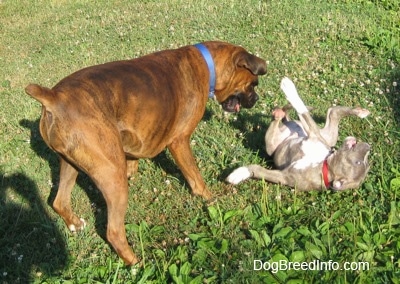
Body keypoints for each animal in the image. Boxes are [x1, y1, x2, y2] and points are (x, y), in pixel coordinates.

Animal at [26, 41, 268, 266]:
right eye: (253, 84)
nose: (256, 100)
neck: (208, 65)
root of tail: (54, 97)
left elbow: (134, 156)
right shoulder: (179, 142)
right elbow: (195, 176)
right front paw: (209, 199)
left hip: (69, 164)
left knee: (59, 202)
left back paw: (75, 224)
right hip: (112, 176)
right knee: (113, 231)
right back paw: (135, 263)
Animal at [227, 77, 370, 191]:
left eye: (359, 162)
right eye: (363, 162)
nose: (369, 147)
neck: (324, 165)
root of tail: (288, 121)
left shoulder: (284, 176)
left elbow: (259, 170)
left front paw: (240, 173)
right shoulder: (313, 133)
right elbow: (303, 110)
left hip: (270, 143)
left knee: (277, 120)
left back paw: (278, 114)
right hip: (327, 136)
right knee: (333, 111)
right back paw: (360, 112)